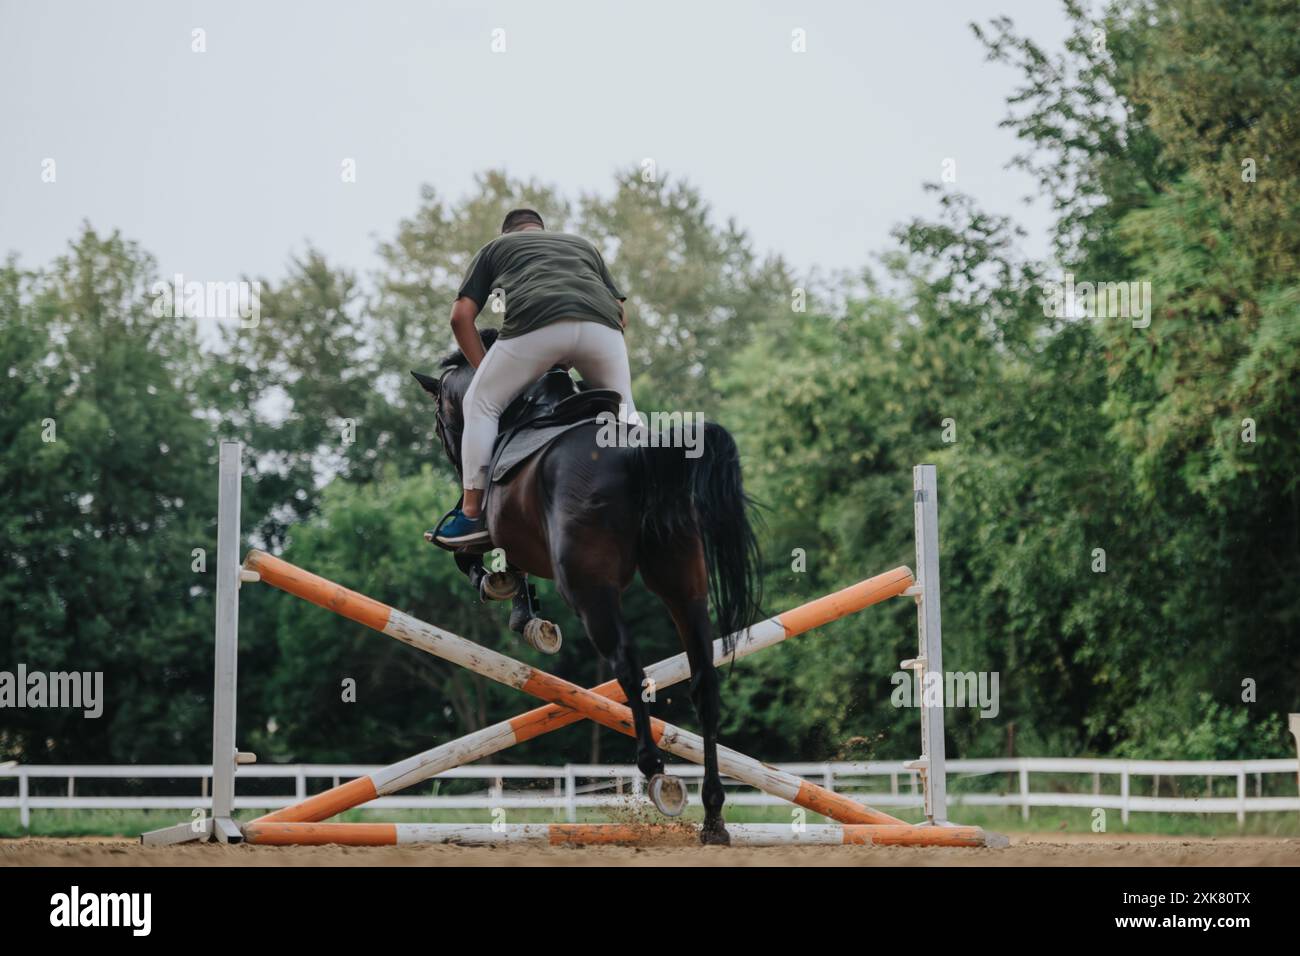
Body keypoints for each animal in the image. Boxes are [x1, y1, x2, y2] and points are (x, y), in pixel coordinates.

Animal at [414, 329, 761, 845]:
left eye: (440, 423)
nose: (455, 461)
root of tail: (637, 454)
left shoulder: (499, 532)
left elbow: (470, 555)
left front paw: (502, 592)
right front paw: (526, 613)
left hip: (590, 590)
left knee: (629, 669)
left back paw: (657, 774)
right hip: (684, 584)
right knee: (704, 681)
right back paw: (713, 816)